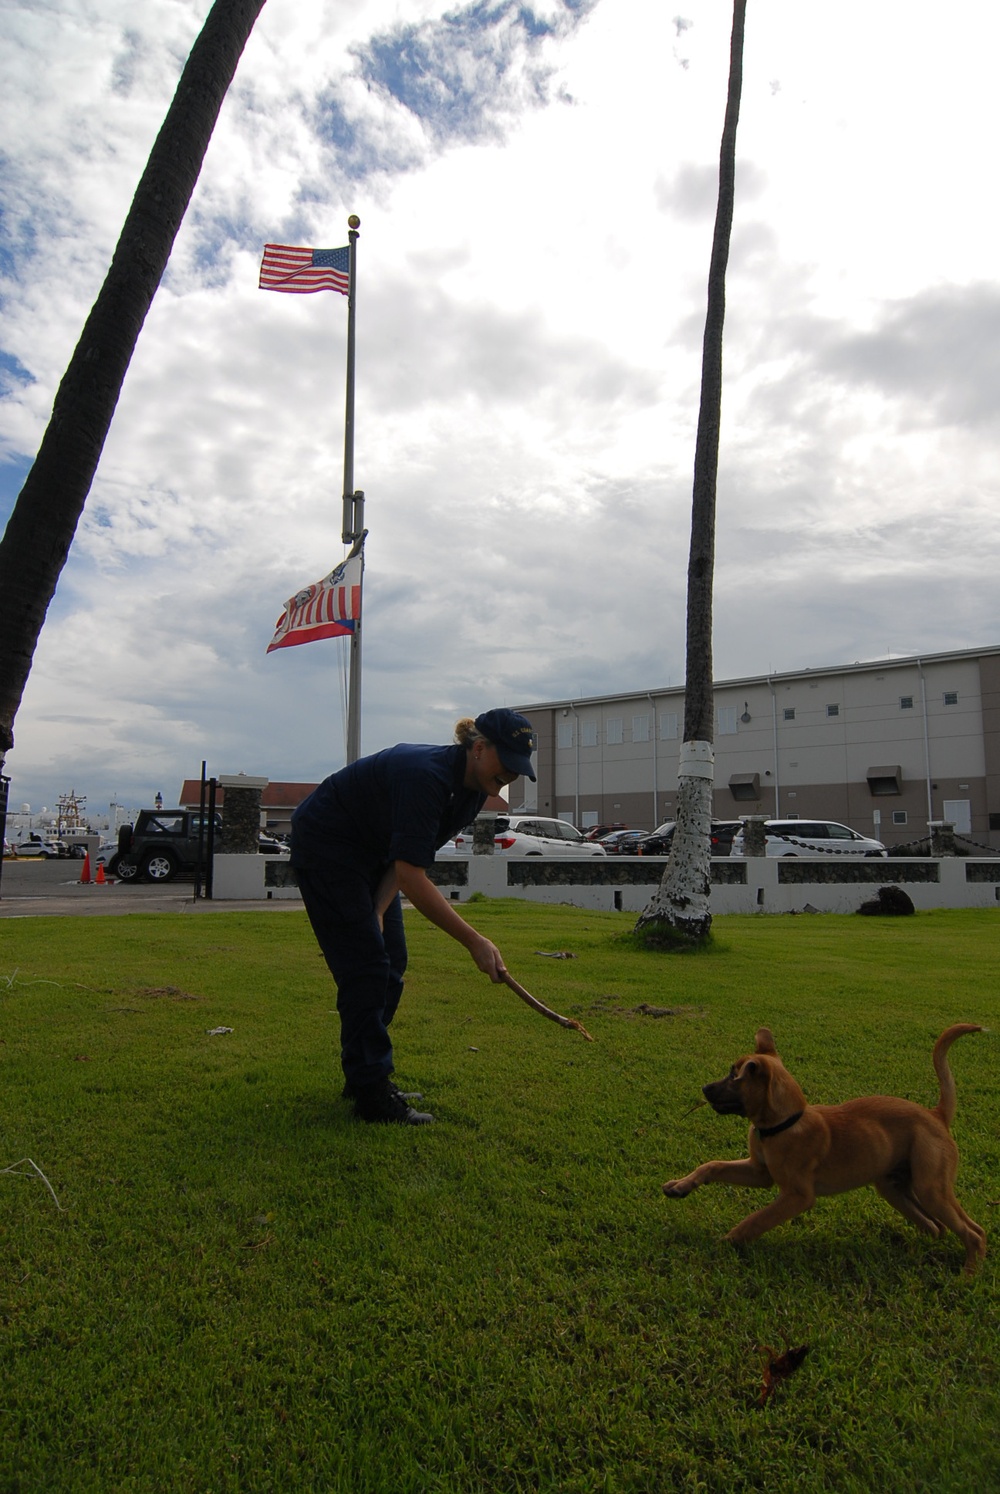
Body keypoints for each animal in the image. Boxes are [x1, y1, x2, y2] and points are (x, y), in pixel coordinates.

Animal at [663, 1027, 980, 1272]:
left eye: (734, 1076)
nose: (704, 1088)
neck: (782, 1124)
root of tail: (936, 1115)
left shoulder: (798, 1196)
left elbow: (756, 1220)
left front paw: (726, 1242)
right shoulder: (759, 1172)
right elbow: (713, 1165)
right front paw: (681, 1185)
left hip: (931, 1188)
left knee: (974, 1232)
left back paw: (967, 1276)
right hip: (895, 1188)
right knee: (935, 1227)